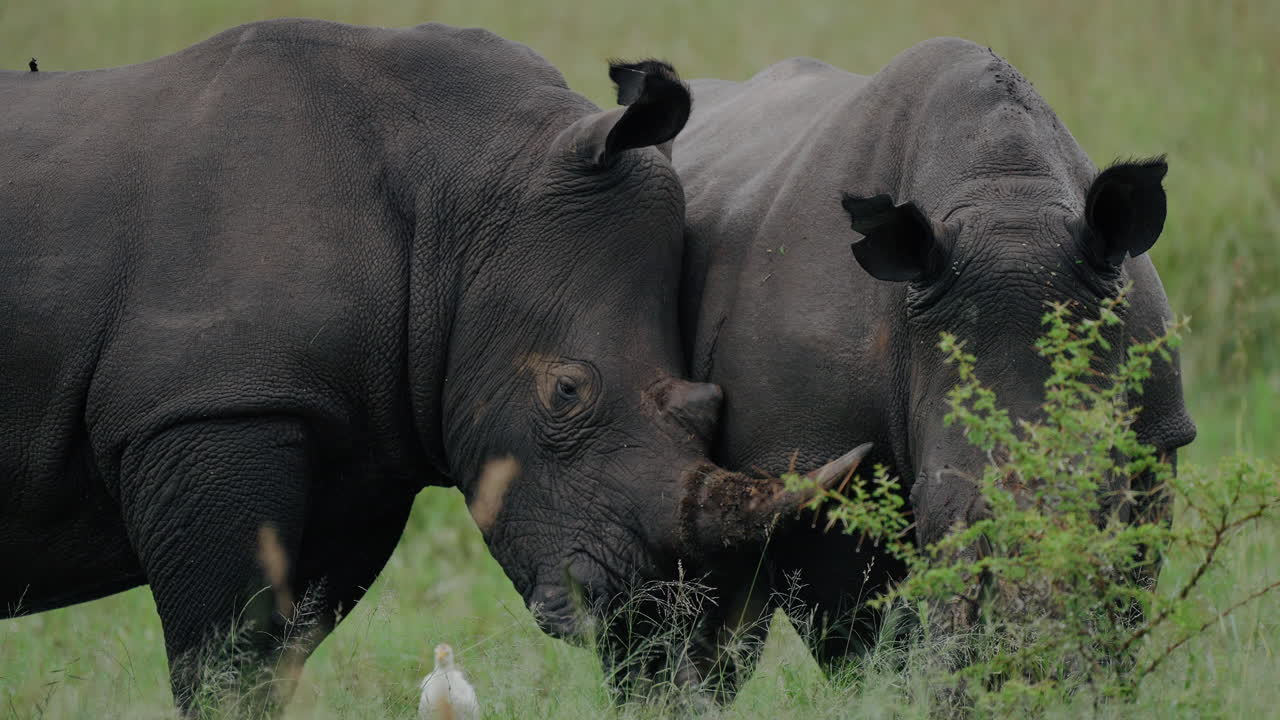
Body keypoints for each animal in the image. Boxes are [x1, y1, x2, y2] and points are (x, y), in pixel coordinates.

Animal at [0, 19, 857, 712]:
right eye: (566, 391)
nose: (644, 608)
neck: (455, 191)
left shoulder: (354, 450)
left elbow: (272, 657)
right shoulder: (212, 405)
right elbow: (219, 658)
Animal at [672, 38, 1196, 690]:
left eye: (1103, 501)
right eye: (927, 509)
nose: (1029, 664)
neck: (1006, 199)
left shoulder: (1155, 432)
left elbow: (1128, 591)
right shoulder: (809, 452)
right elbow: (859, 631)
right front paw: (889, 692)